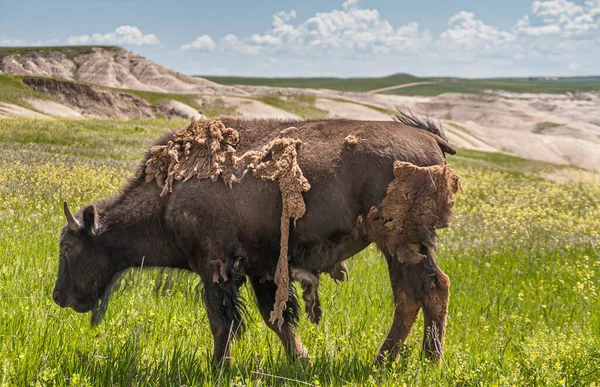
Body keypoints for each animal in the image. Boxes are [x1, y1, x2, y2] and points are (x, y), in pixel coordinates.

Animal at [54, 113, 462, 366]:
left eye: (68, 248)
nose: (58, 297)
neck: (168, 195)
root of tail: (430, 137)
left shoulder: (215, 267)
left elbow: (223, 322)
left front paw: (218, 368)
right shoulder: (260, 269)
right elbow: (275, 319)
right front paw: (302, 361)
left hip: (402, 242)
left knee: (432, 288)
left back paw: (429, 362)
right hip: (397, 248)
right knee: (409, 297)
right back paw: (385, 362)